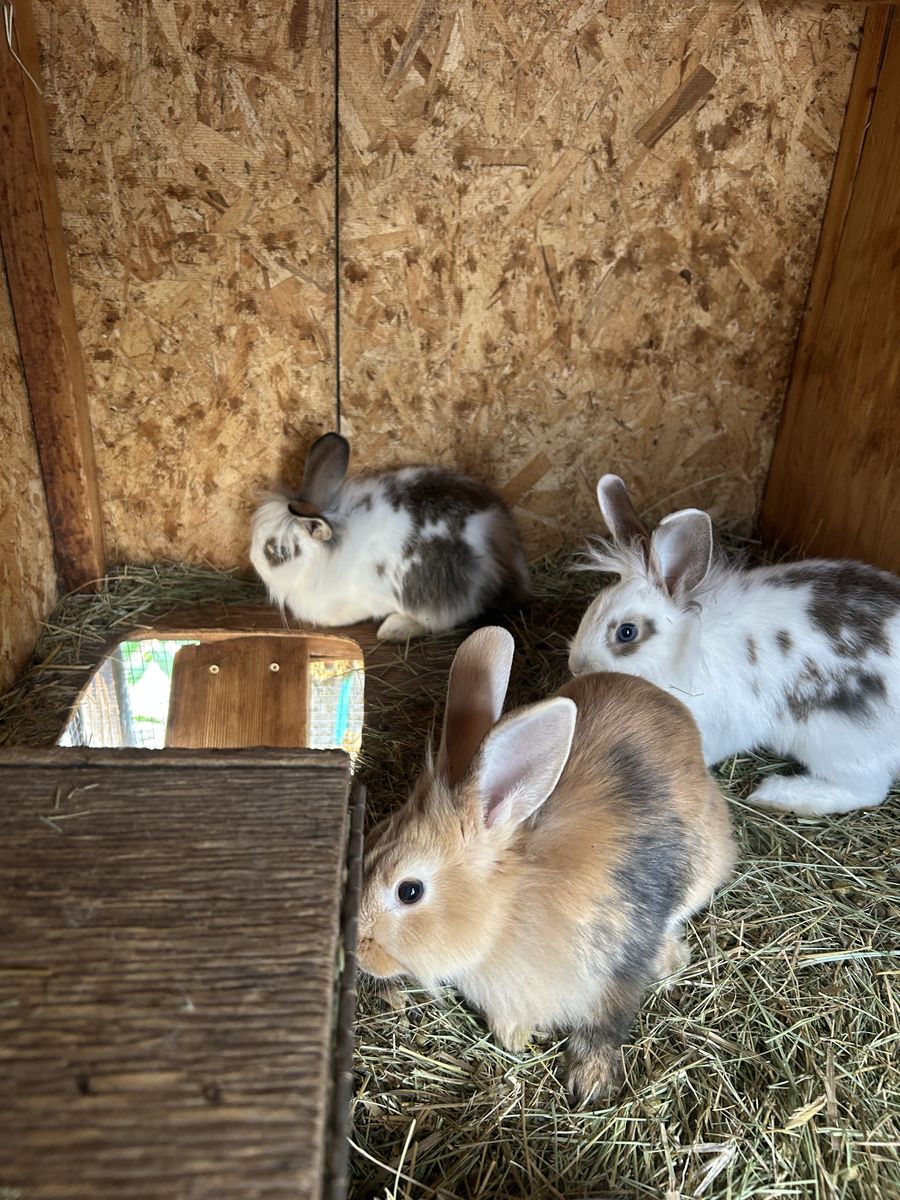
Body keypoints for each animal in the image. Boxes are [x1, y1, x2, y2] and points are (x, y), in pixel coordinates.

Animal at [358, 626, 735, 1103]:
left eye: (410, 891)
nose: (359, 953)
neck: (504, 915)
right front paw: (514, 1036)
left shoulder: (618, 960)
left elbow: (608, 1022)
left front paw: (590, 1080)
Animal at [568, 474, 900, 816]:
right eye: (593, 605)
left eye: (627, 632)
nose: (576, 666)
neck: (681, 648)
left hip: (836, 742)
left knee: (867, 790)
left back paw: (777, 794)